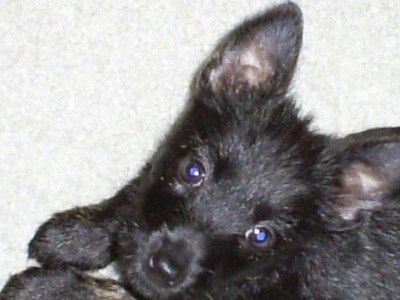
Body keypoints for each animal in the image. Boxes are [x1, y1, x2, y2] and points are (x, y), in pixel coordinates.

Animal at [1, 2, 398, 300]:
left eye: (261, 236)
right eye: (193, 171)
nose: (164, 268)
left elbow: (119, 293)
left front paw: (45, 288)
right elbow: (140, 185)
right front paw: (80, 235)